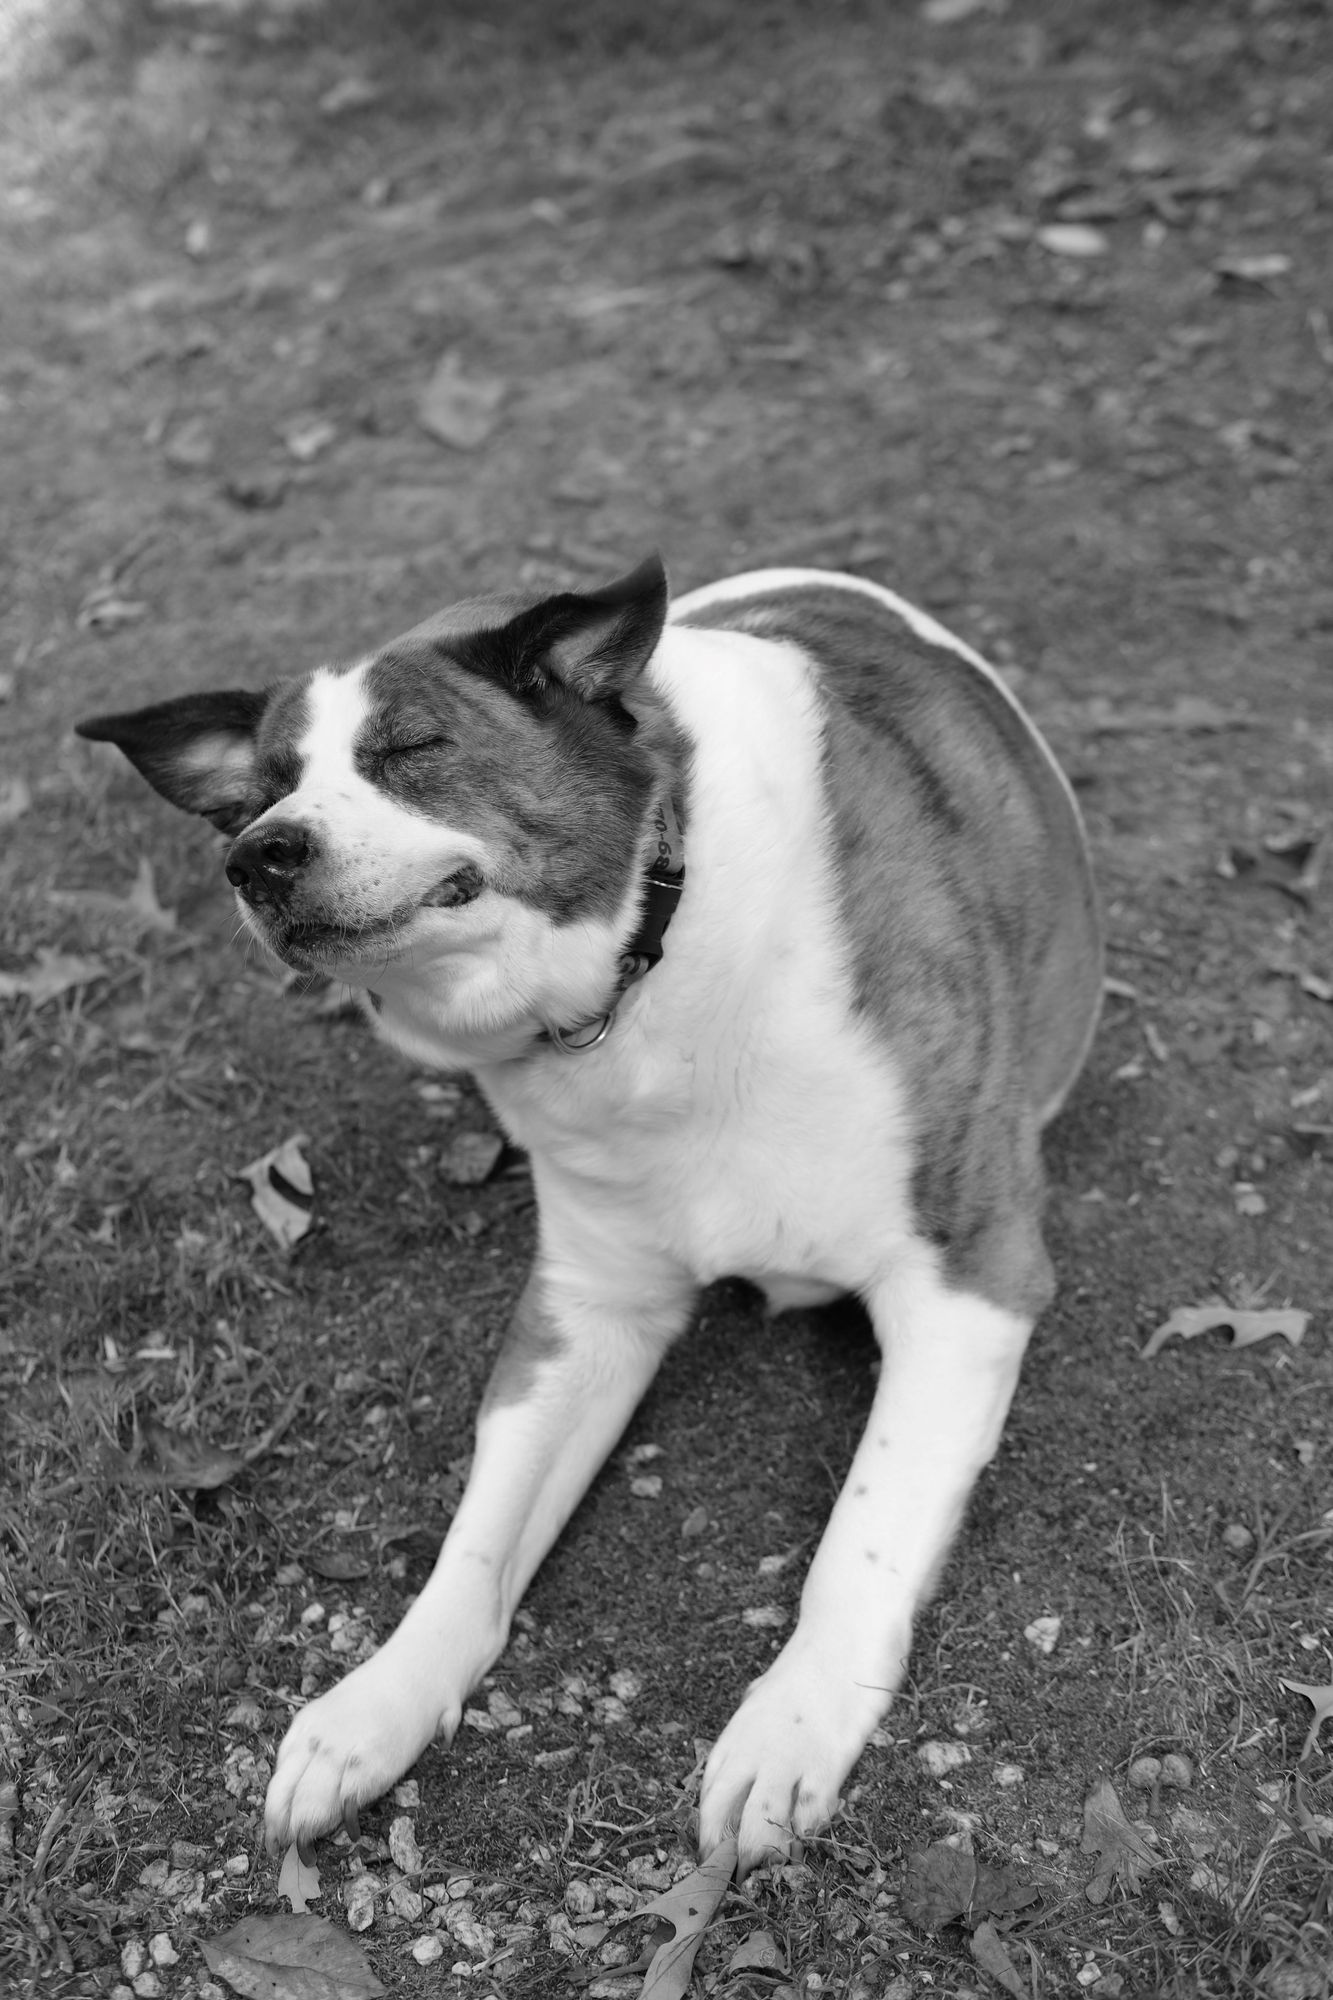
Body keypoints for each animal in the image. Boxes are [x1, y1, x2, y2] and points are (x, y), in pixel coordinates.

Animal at [83, 560, 1096, 1872]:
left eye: (413, 748)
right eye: (254, 796)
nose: (259, 854)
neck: (641, 957)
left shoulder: (970, 1275)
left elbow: (859, 1535)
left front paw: (795, 1717)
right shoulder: (587, 1315)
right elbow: (478, 1542)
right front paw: (377, 1700)